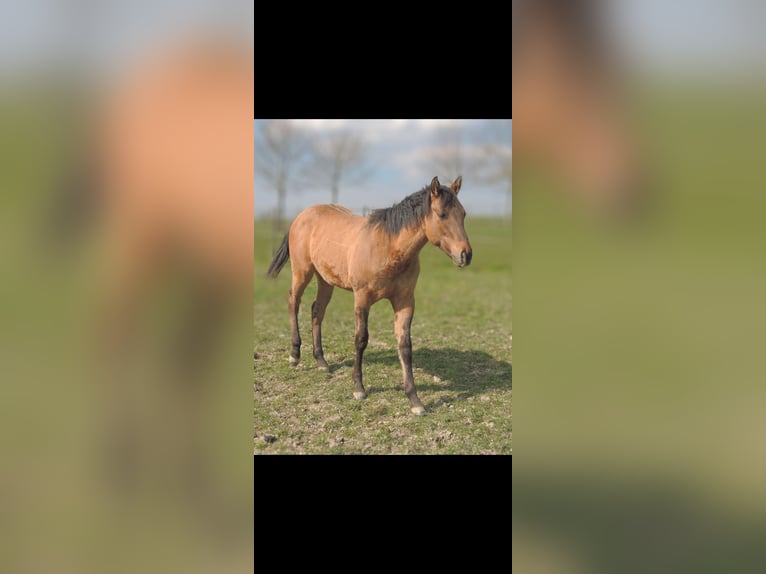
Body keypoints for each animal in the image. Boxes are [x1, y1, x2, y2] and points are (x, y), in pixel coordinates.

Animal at [266, 176, 472, 415]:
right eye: (442, 214)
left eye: (463, 214)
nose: (465, 254)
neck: (389, 248)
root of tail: (303, 215)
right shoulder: (362, 299)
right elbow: (361, 340)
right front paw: (359, 388)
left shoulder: (405, 302)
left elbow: (405, 346)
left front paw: (415, 400)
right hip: (302, 272)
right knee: (294, 302)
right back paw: (294, 355)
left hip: (325, 280)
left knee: (317, 311)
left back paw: (321, 361)